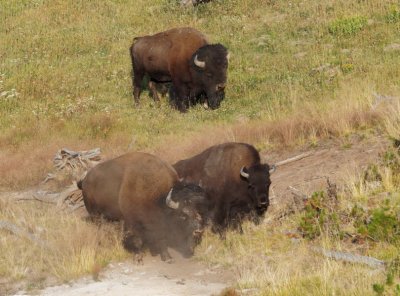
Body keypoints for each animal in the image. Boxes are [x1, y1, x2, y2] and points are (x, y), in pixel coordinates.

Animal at [78, 151, 209, 262]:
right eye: (182, 215)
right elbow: (139, 240)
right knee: (98, 229)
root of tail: (85, 180)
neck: (158, 198)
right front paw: (139, 257)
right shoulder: (133, 222)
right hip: (94, 214)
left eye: (196, 210)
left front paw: (165, 256)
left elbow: (161, 238)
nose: (199, 230)